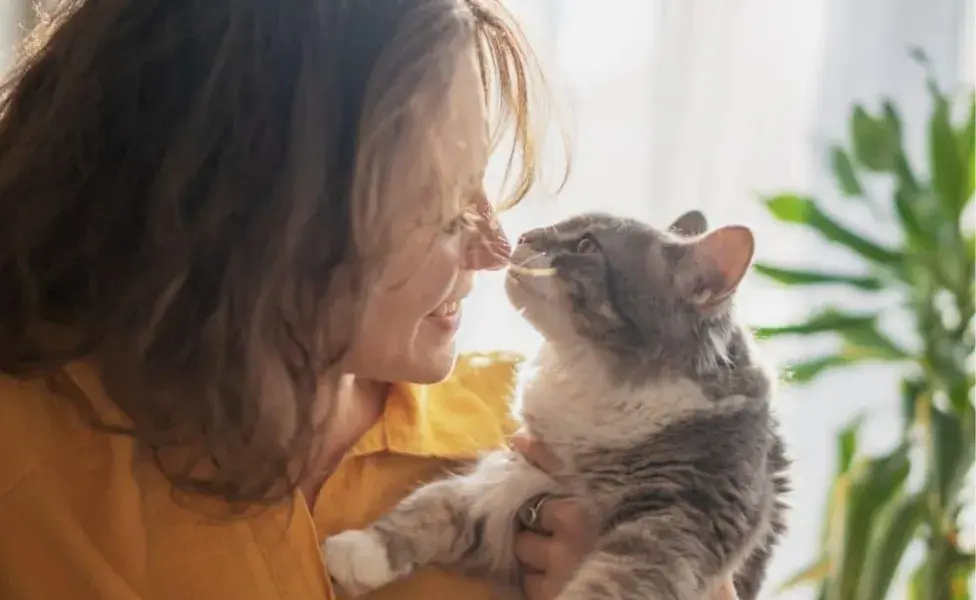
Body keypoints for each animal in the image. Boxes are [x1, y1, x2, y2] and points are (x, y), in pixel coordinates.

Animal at [324, 211, 788, 600]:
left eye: (586, 246)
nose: (523, 236)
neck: (590, 375)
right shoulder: (514, 478)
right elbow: (430, 508)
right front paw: (356, 552)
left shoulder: (681, 515)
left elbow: (613, 584)